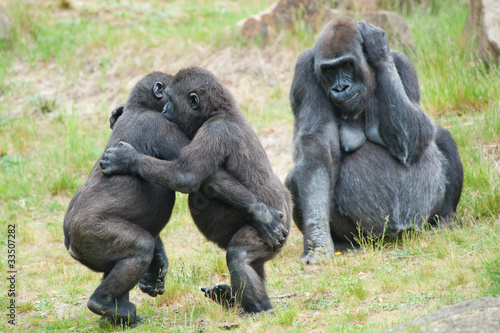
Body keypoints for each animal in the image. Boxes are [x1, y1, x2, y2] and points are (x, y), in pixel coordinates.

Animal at [64, 70, 288, 324]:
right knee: (140, 248)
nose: (165, 109)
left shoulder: (200, 129)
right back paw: (108, 306)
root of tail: (70, 243)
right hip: (86, 235)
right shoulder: (164, 125)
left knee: (239, 256)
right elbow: (194, 176)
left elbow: (188, 175)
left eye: (170, 100)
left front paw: (127, 158)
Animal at [286, 19, 464, 264]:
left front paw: (379, 50)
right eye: (329, 70)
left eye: (346, 65)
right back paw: (345, 243)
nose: (340, 88)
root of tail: (397, 232)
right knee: (296, 177)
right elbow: (317, 154)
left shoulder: (403, 63)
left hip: (421, 221)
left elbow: (417, 135)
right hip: (366, 235)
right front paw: (318, 241)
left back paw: (445, 220)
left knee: (442, 136)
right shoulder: (304, 71)